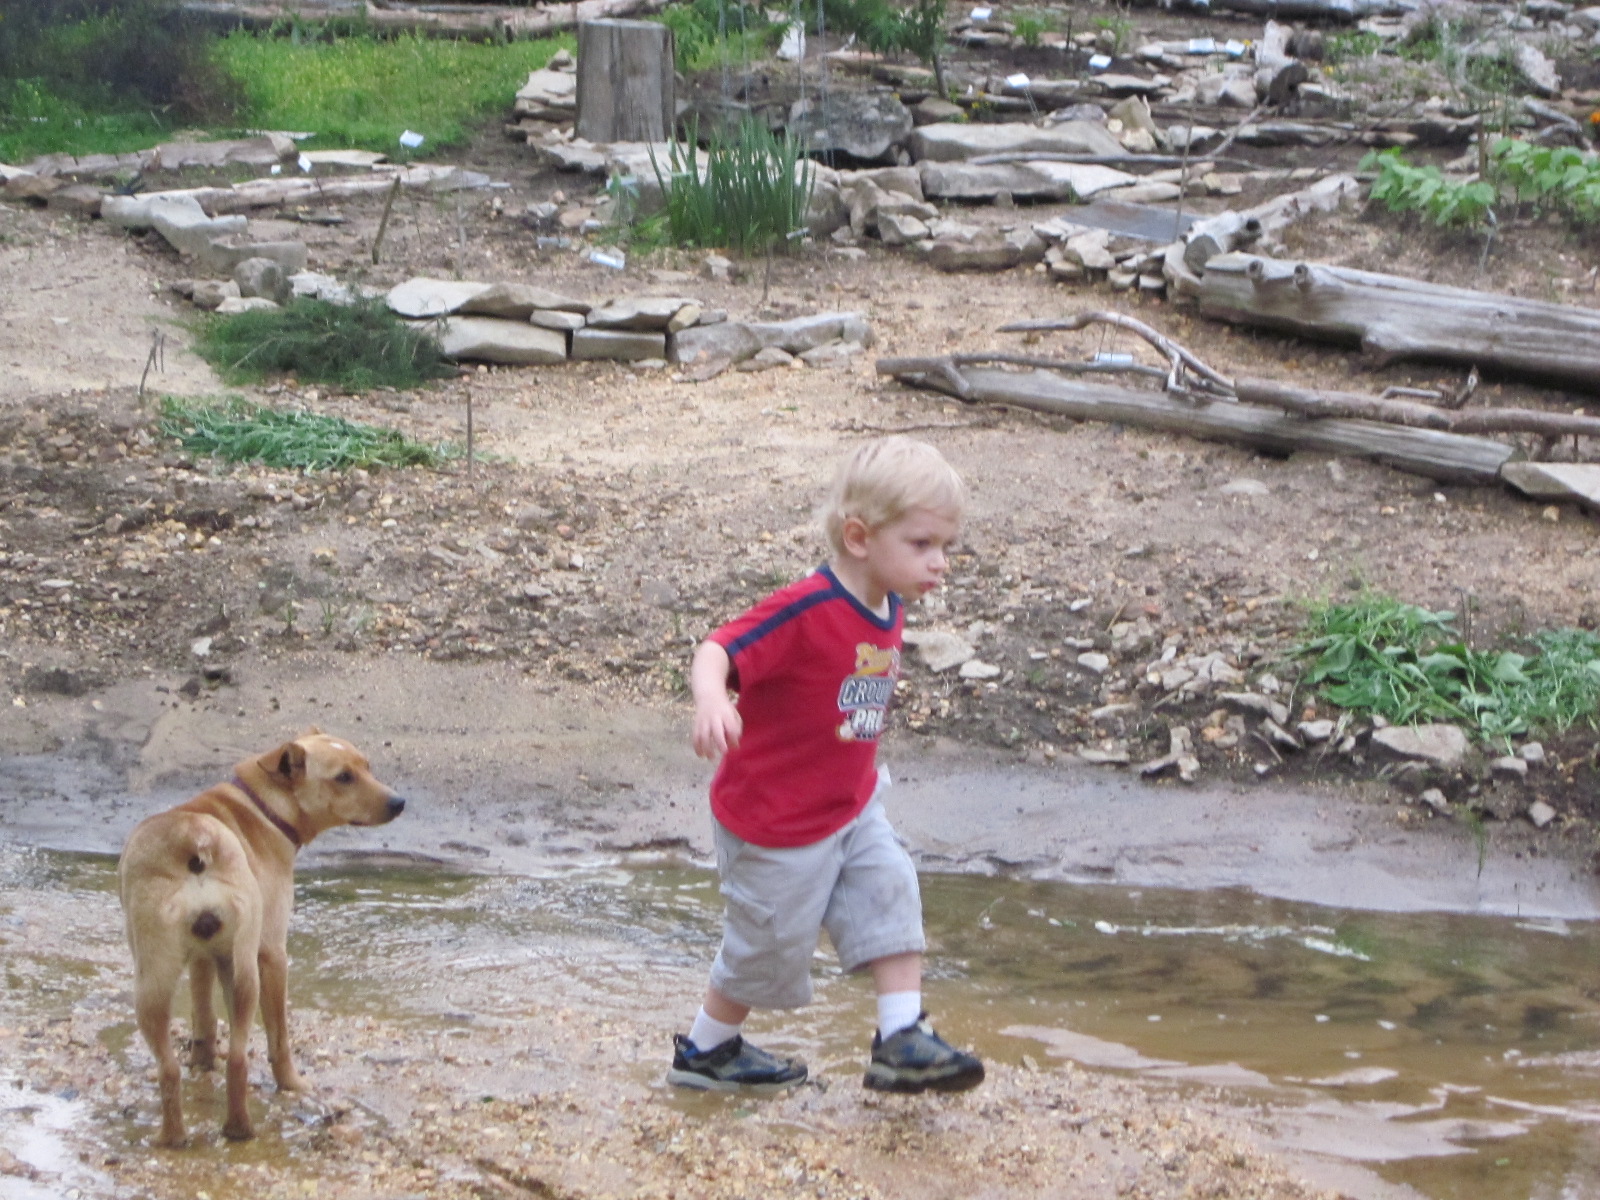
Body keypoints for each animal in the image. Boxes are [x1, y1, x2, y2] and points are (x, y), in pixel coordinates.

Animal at [118, 729, 405, 1147]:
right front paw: (292, 1084)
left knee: (186, 1066)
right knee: (228, 1059)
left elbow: (203, 1017)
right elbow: (279, 1036)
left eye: (367, 766)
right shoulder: (273, 953)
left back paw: (201, 1134)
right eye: (343, 777)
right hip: (230, 972)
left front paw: (202, 1062)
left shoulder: (206, 956)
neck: (262, 807)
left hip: (184, 980)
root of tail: (195, 839)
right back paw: (212, 1132)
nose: (400, 802)